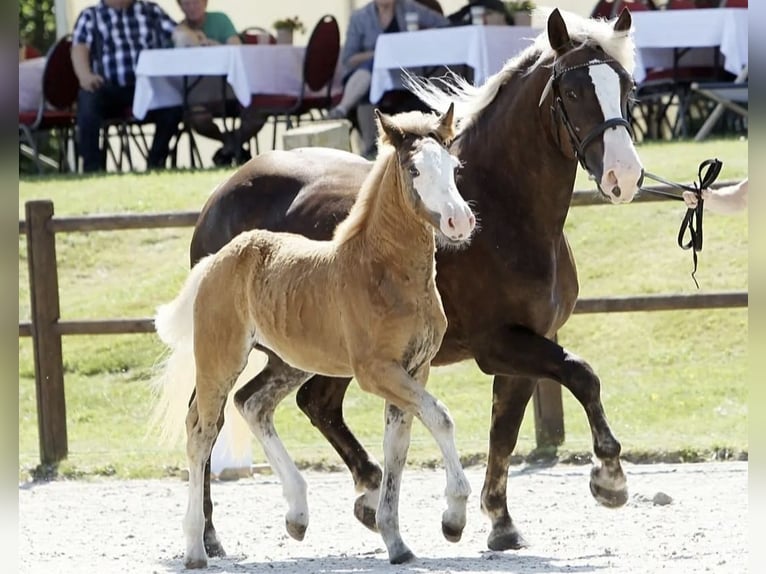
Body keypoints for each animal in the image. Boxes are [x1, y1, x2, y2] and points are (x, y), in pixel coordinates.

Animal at [153, 106, 477, 568]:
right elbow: (440, 417)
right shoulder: (376, 372)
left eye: (454, 167)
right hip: (220, 359)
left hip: (290, 361)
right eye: (414, 169)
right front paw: (453, 516)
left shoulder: (415, 369)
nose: (459, 220)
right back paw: (198, 547)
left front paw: (396, 541)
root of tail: (218, 258)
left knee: (252, 404)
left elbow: (397, 446)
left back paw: (297, 514)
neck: (383, 271)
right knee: (202, 431)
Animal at [186, 7, 644, 558]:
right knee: (211, 420)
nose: (624, 176)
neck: (505, 213)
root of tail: (223, 194)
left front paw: (499, 521)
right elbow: (582, 374)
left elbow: (505, 431)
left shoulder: (526, 346)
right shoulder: (501, 344)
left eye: (627, 87)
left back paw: (360, 498)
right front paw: (609, 479)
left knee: (294, 403)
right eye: (573, 91)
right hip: (244, 348)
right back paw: (210, 534)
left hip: (298, 351)